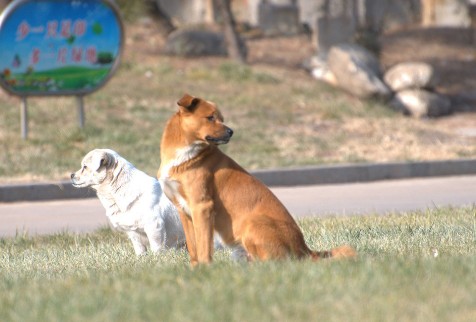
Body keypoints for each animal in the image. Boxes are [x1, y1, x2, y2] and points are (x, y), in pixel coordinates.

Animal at [158, 93, 356, 266]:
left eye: (220, 118)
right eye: (210, 117)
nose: (231, 131)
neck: (185, 156)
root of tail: (304, 250)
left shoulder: (203, 207)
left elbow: (204, 247)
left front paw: (206, 269)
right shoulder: (184, 211)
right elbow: (194, 248)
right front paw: (195, 269)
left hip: (252, 223)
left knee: (276, 263)